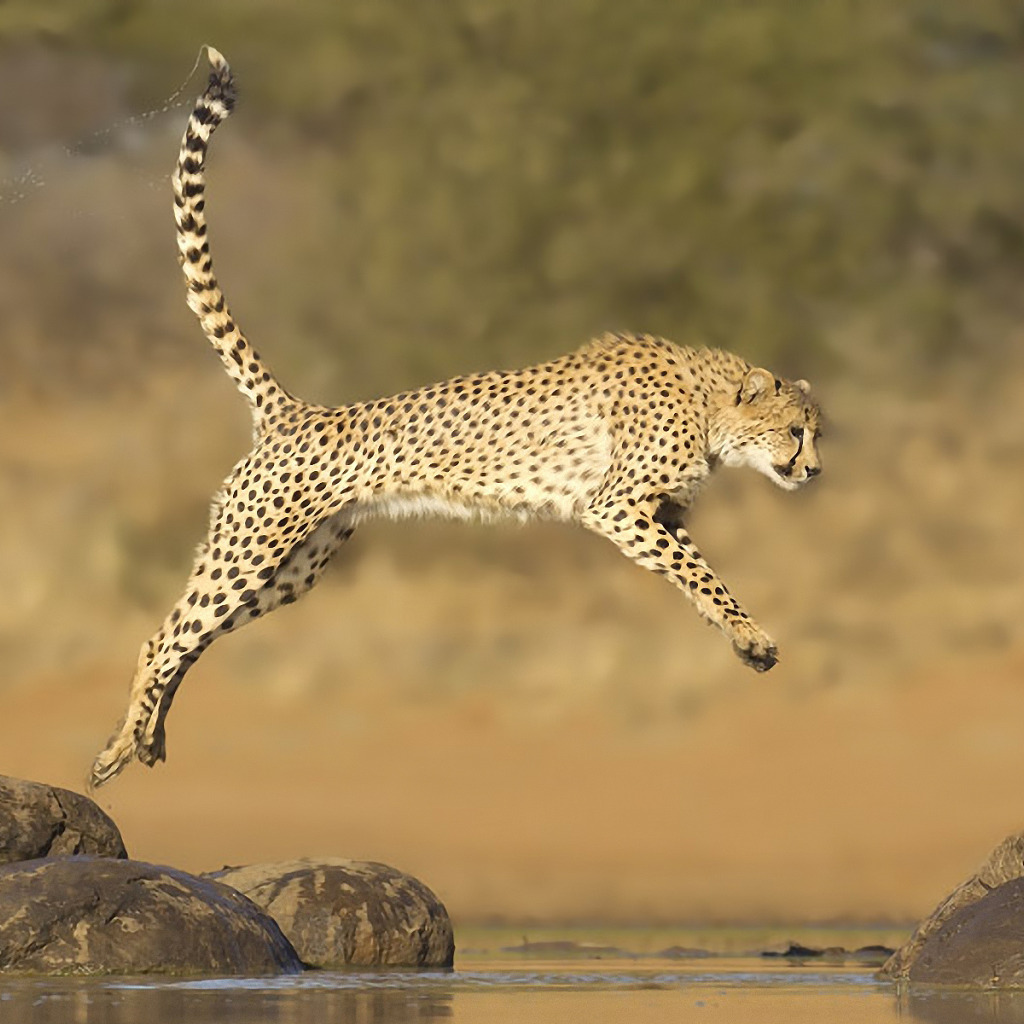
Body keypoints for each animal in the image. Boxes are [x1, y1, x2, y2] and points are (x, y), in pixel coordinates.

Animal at [88, 48, 823, 786]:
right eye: (796, 431)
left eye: (818, 433)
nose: (814, 470)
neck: (709, 404)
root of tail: (296, 411)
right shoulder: (614, 507)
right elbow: (700, 573)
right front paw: (752, 635)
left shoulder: (659, 514)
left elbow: (698, 572)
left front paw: (745, 641)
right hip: (252, 546)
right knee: (163, 638)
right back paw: (122, 745)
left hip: (293, 568)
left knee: (190, 640)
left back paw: (143, 740)